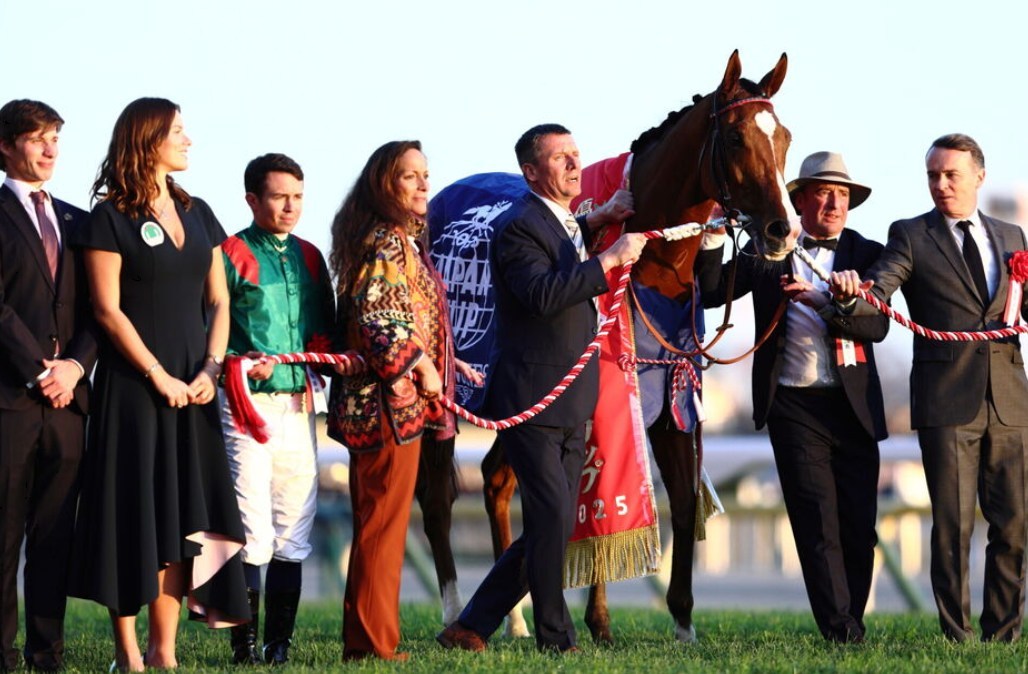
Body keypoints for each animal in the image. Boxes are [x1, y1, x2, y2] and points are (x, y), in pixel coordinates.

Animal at [417, 49, 796, 643]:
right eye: (735, 138)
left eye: (784, 137)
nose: (783, 230)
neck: (652, 269)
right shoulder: (602, 401)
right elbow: (593, 501)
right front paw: (597, 621)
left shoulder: (671, 393)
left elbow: (680, 500)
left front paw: (683, 622)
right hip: (450, 389)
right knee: (438, 498)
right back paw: (458, 611)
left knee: (497, 479)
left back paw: (514, 620)